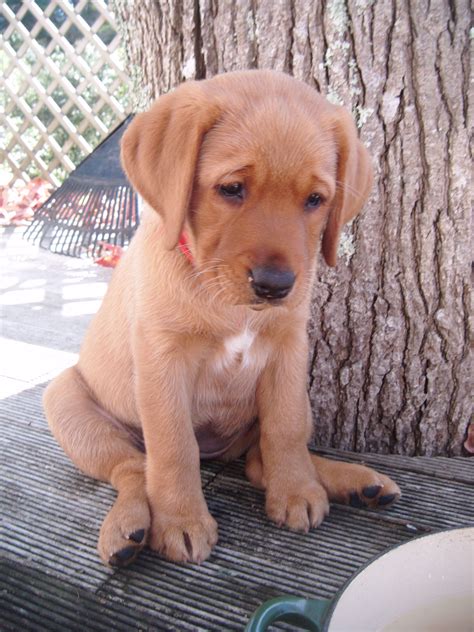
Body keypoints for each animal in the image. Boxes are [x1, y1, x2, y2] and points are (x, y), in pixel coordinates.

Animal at [43, 70, 400, 568]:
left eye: (315, 200)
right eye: (232, 189)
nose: (274, 285)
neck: (227, 301)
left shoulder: (289, 350)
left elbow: (285, 429)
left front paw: (297, 491)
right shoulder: (162, 361)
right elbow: (174, 448)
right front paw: (180, 520)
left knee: (257, 461)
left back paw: (350, 482)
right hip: (67, 402)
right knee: (133, 468)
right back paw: (127, 528)